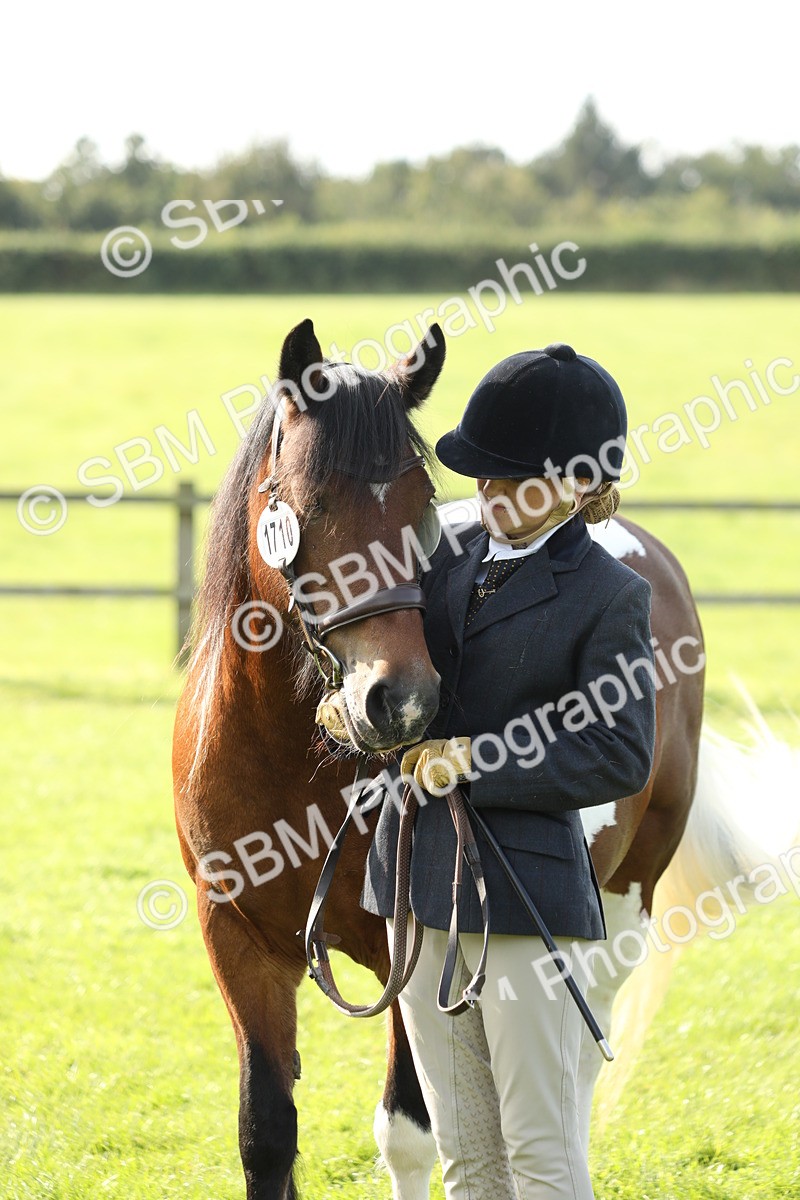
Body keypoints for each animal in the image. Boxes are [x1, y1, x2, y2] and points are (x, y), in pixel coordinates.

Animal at [172, 318, 752, 1198]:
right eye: (308, 502)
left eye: (421, 506)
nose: (400, 702)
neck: (285, 761)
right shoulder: (237, 939)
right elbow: (265, 1132)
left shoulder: (414, 943)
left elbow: (414, 1132)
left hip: (623, 902)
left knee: (574, 1068)